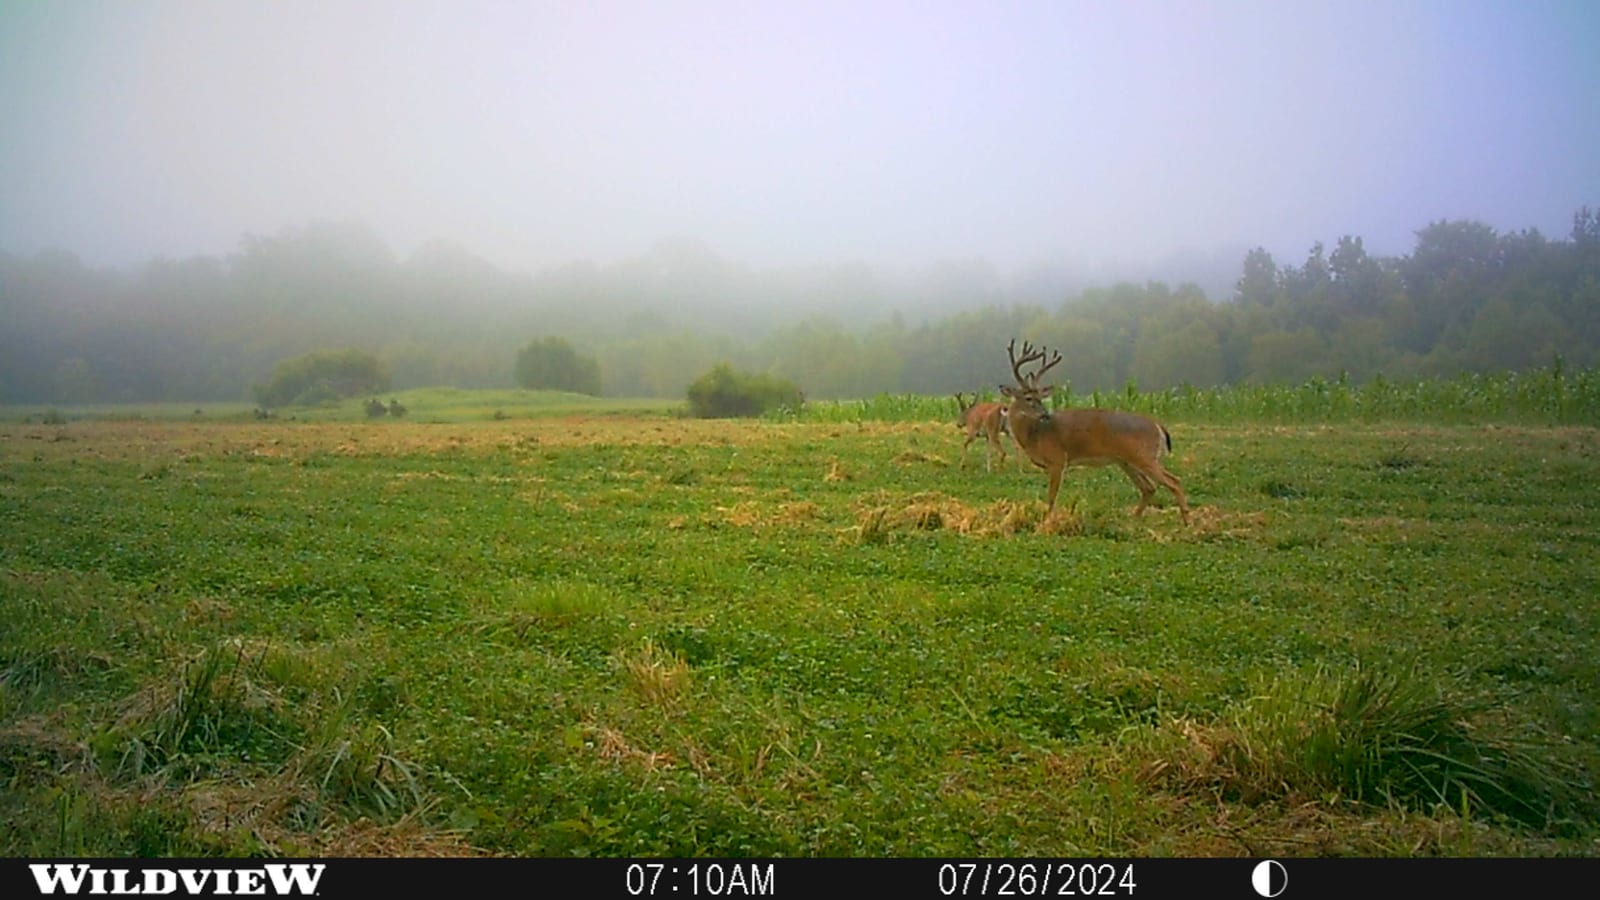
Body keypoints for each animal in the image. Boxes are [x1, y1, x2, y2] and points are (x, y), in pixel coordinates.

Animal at [1000, 339, 1190, 524]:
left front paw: (1047, 522)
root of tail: (1157, 425)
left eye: (1040, 397)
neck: (1035, 435)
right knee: (1149, 487)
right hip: (1126, 461)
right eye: (1028, 398)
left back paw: (1186, 520)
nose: (1045, 414)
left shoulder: (1057, 460)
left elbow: (1052, 497)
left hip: (1144, 455)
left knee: (1174, 481)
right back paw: (1133, 519)